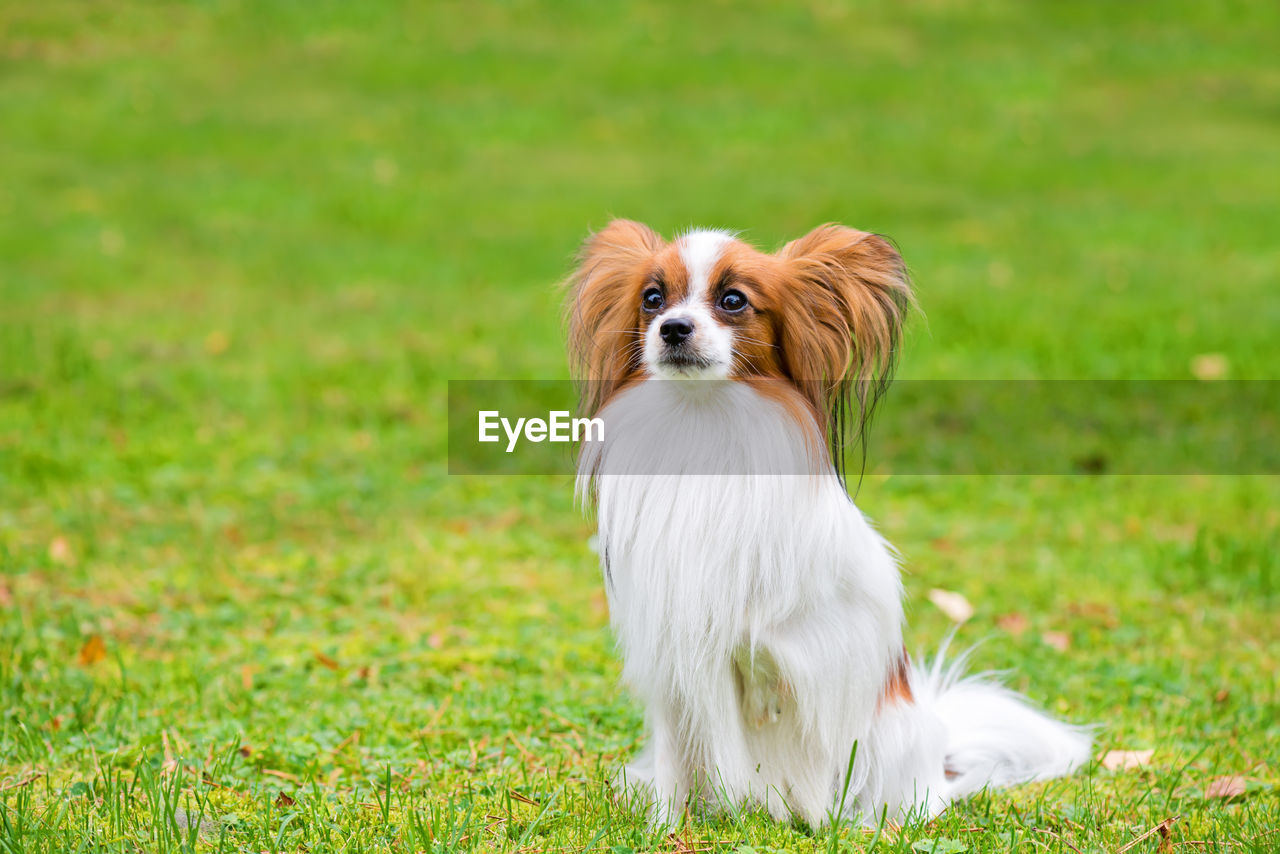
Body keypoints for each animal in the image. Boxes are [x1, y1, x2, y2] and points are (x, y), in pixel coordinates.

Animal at [568, 220, 1090, 829]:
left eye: (733, 300)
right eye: (652, 299)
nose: (673, 327)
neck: (703, 420)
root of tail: (938, 759)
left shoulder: (821, 633)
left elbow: (767, 641)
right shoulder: (670, 656)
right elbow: (676, 760)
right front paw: (664, 829)